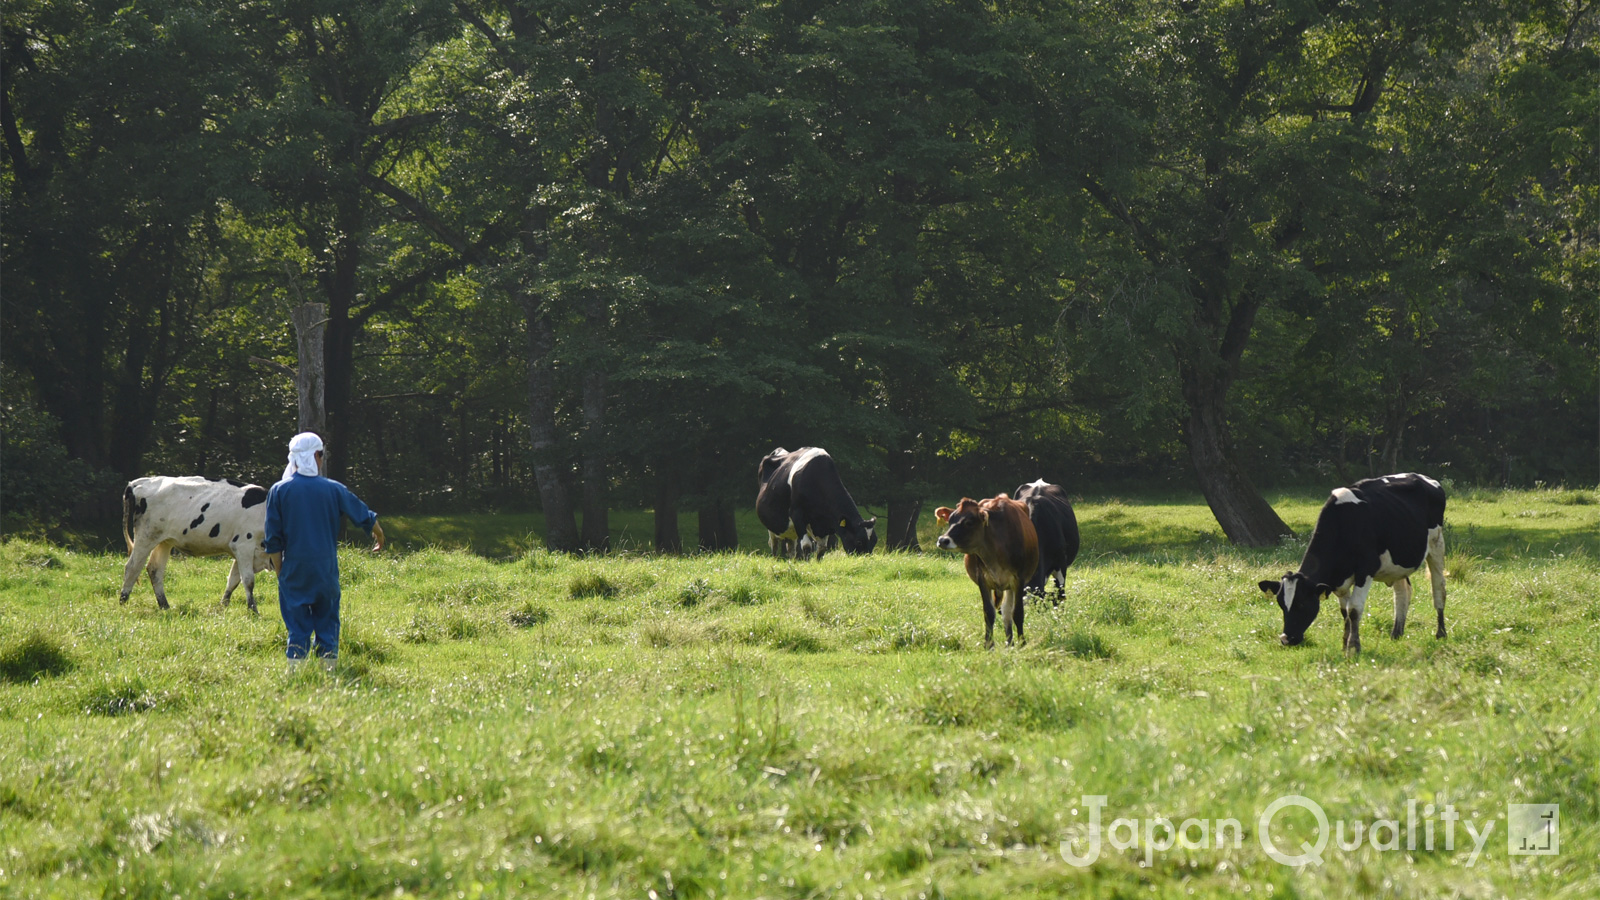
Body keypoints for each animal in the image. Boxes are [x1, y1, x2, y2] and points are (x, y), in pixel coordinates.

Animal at [120, 477, 272, 608]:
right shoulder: (243, 545)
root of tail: (138, 482)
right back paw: (123, 602)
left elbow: (233, 580)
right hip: (146, 537)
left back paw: (164, 606)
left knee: (154, 569)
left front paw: (223, 606)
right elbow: (248, 581)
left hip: (164, 541)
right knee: (132, 567)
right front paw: (253, 610)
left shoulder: (243, 552)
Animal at [934, 493, 1043, 646]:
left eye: (969, 522)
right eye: (950, 520)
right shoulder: (983, 579)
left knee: (1007, 611)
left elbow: (1017, 613)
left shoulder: (1019, 580)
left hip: (1010, 586)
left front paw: (1022, 644)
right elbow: (989, 613)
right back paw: (1009, 643)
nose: (942, 540)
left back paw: (1010, 643)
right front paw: (988, 645)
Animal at [1260, 470, 1452, 650]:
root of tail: (1423, 477)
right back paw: (1396, 634)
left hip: (1437, 544)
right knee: (1403, 591)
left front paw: (1353, 647)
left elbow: (1353, 609)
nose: (1286, 639)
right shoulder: (1339, 580)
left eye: (1301, 603)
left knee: (1439, 589)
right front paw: (1345, 643)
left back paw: (1441, 633)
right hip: (1398, 562)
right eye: (1281, 604)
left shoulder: (1366, 569)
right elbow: (1344, 612)